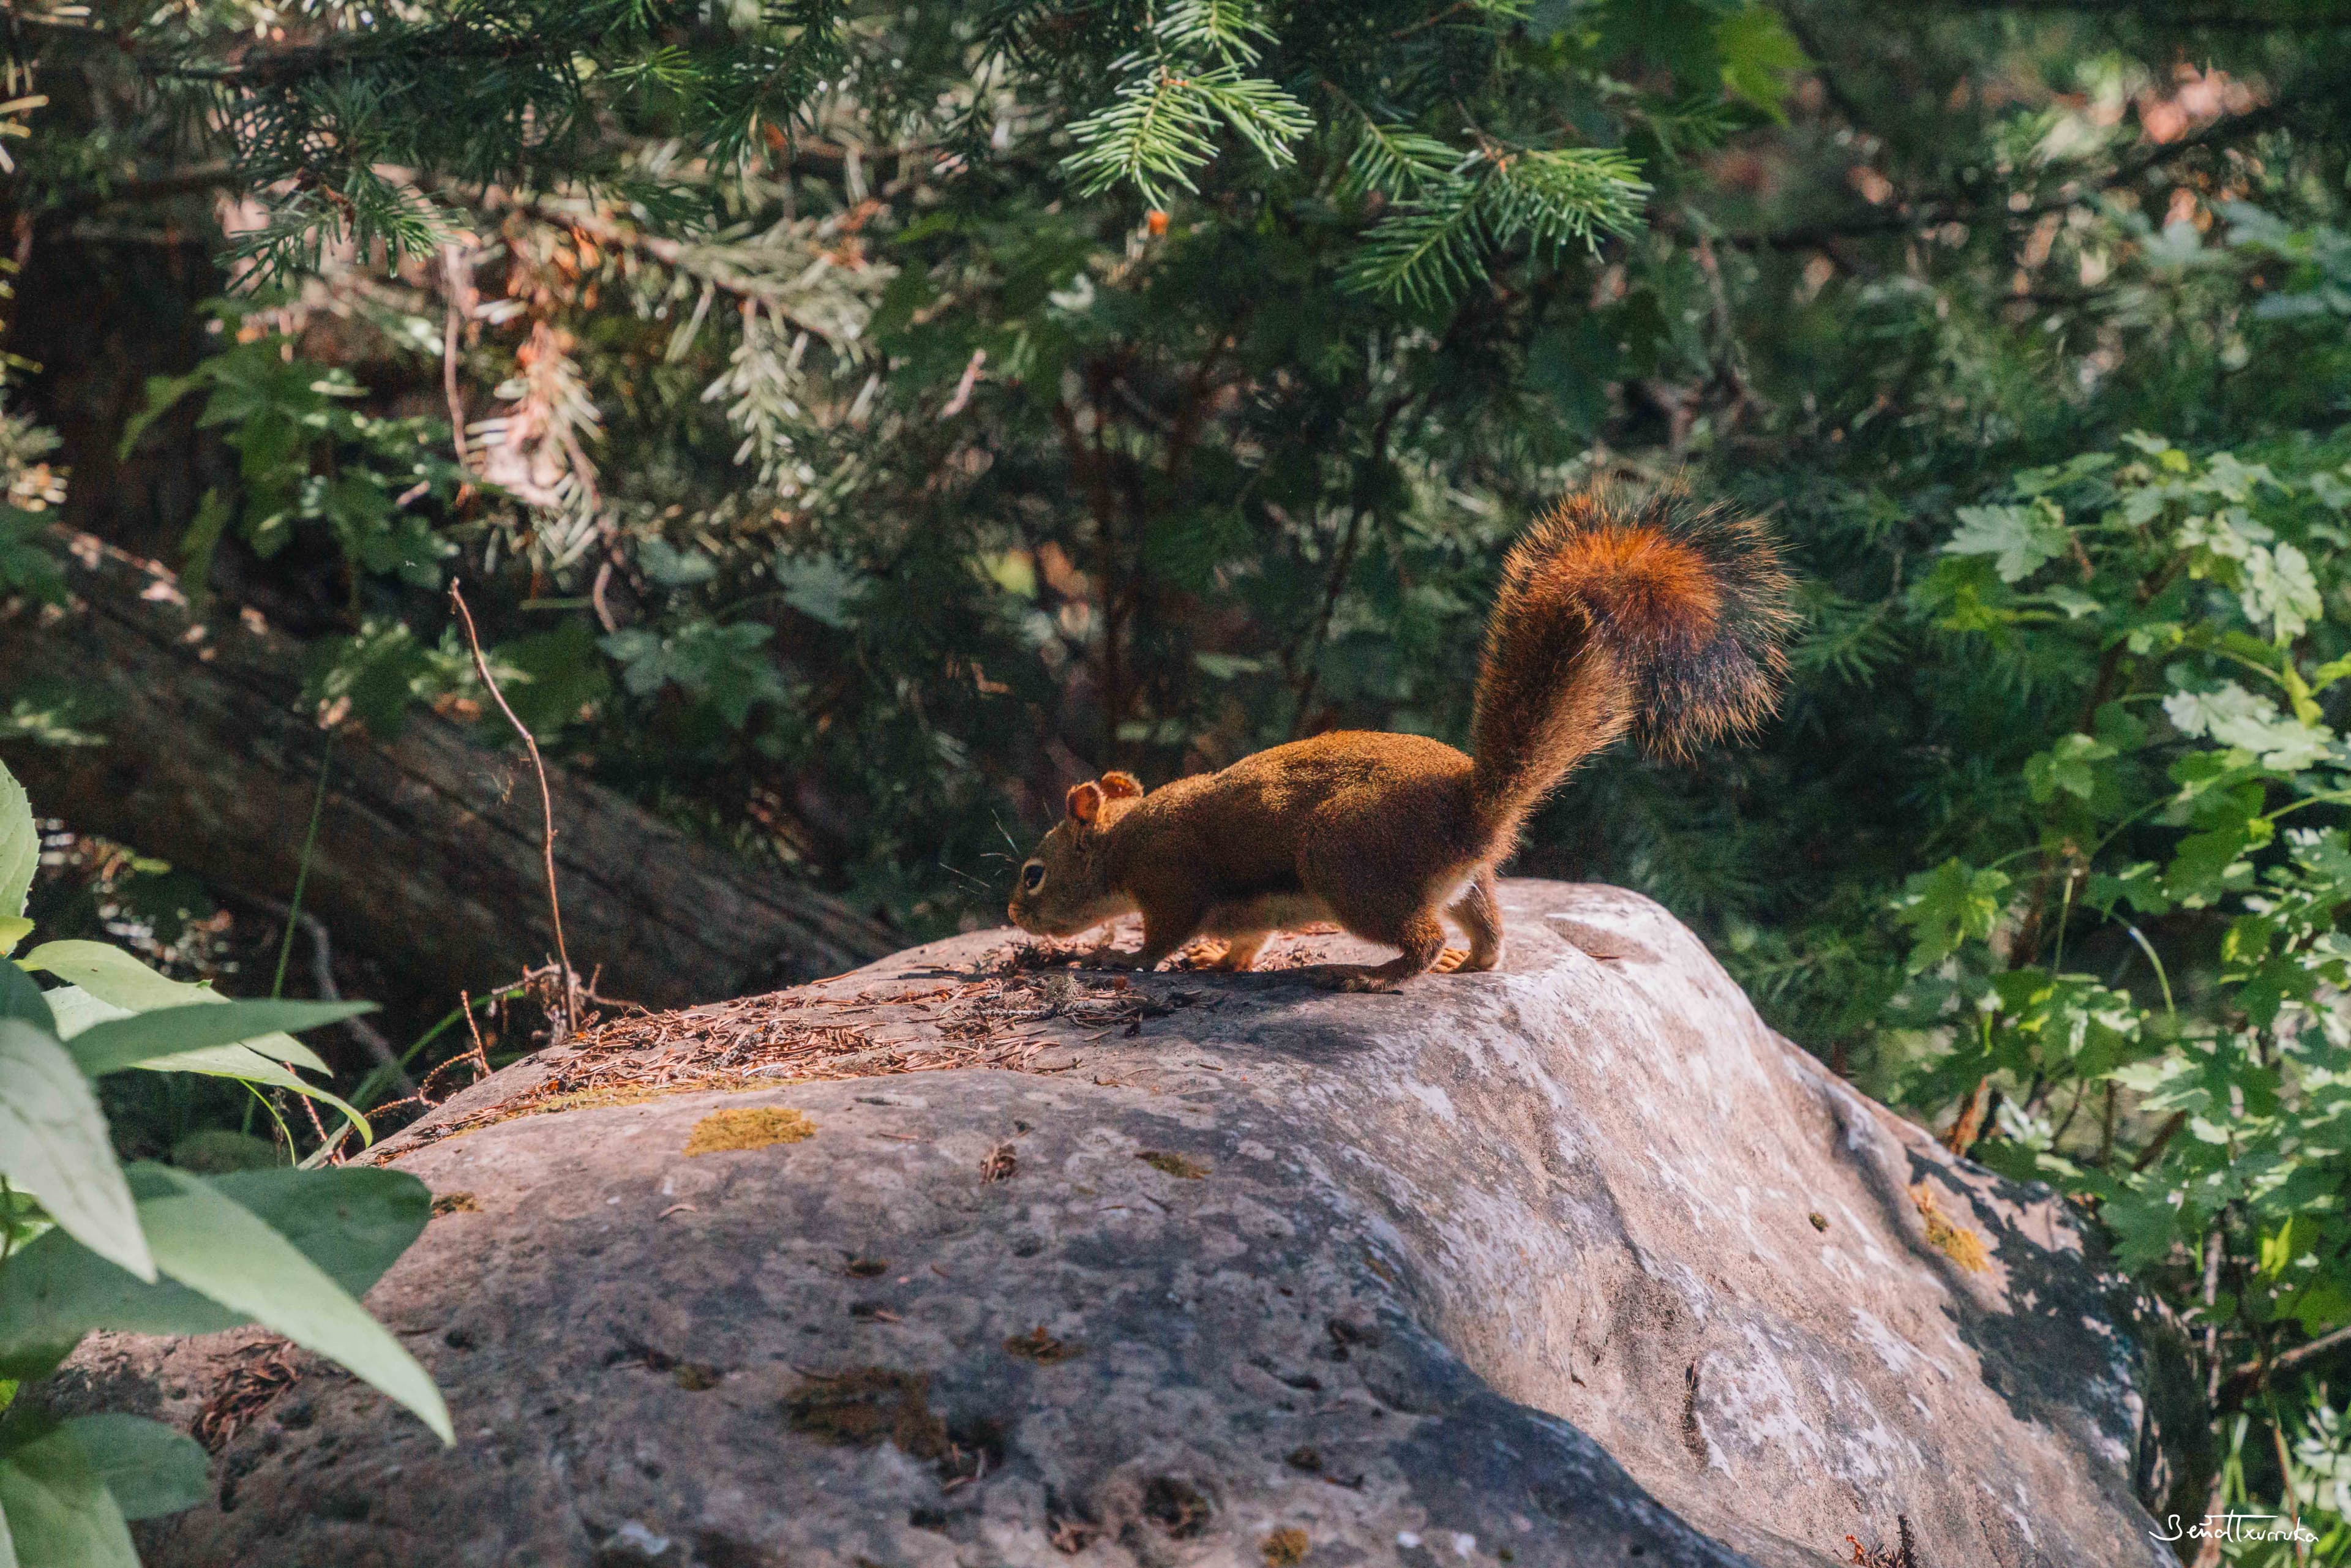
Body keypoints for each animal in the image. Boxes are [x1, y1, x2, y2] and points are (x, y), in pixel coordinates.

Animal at [1007, 480, 1795, 990]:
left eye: (1034, 872)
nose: (1013, 913)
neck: (1125, 838)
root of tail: (1474, 806)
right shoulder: (1241, 909)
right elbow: (1249, 937)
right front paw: (1221, 963)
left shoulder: (1171, 881)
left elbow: (1162, 936)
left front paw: (1120, 961)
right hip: (1465, 880)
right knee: (1489, 935)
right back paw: (1468, 963)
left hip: (1345, 862)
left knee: (1422, 934)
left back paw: (1381, 974)